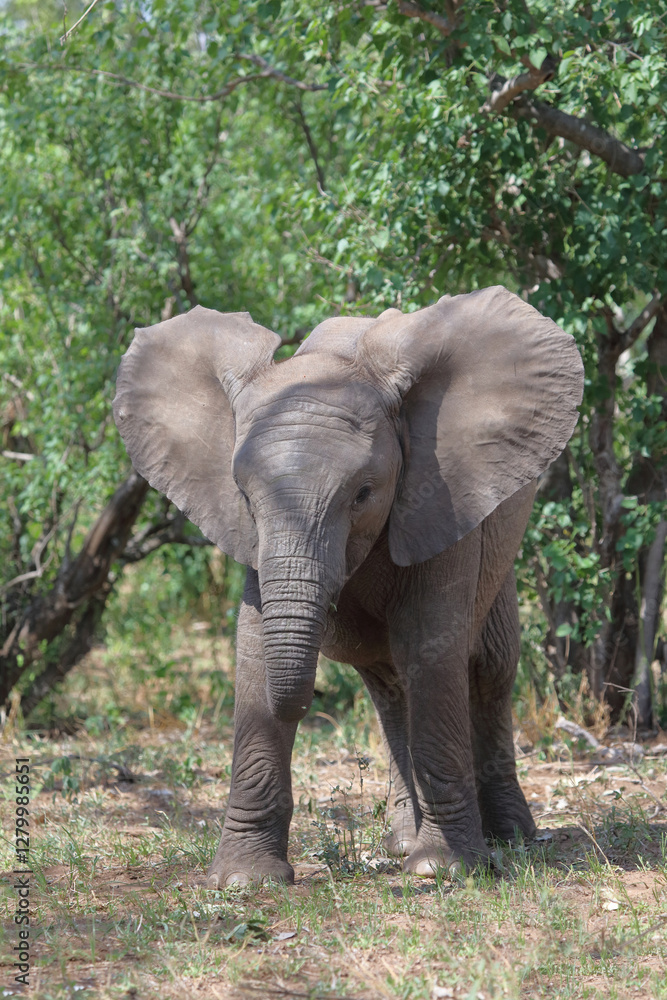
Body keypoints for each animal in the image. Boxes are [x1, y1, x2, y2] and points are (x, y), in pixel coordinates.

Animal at [113, 285, 584, 886]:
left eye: (363, 493)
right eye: (243, 494)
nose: (307, 704)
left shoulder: (440, 493)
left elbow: (433, 647)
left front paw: (442, 871)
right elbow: (254, 649)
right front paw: (246, 880)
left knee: (489, 670)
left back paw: (509, 838)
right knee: (390, 687)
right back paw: (403, 839)